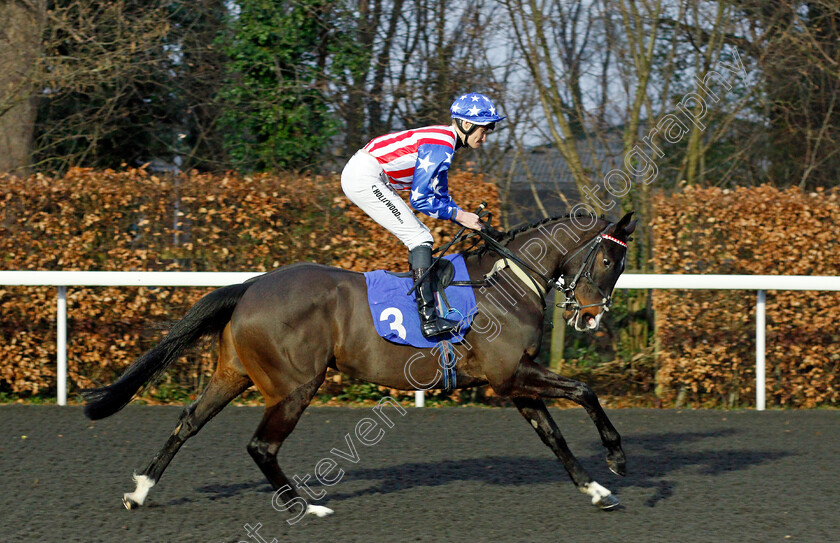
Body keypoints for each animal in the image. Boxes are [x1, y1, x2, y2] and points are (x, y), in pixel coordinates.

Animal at [83, 210, 636, 516]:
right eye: (609, 261)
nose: (592, 316)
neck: (505, 279)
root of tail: (252, 286)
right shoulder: (510, 375)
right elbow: (585, 391)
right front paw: (616, 457)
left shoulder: (513, 381)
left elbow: (554, 437)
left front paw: (596, 491)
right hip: (296, 384)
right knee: (261, 445)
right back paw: (307, 506)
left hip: (234, 373)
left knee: (189, 421)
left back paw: (141, 491)